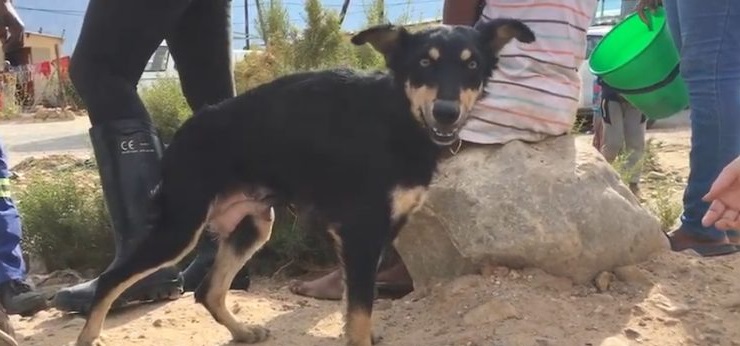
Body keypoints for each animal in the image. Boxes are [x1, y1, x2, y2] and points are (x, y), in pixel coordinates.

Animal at [75, 18, 536, 346]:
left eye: (472, 65)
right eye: (424, 63)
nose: (446, 112)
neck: (396, 116)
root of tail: (184, 132)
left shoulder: (375, 234)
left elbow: (356, 305)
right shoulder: (361, 232)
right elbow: (359, 310)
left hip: (254, 225)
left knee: (207, 290)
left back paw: (243, 332)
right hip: (179, 228)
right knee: (111, 279)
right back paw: (90, 336)